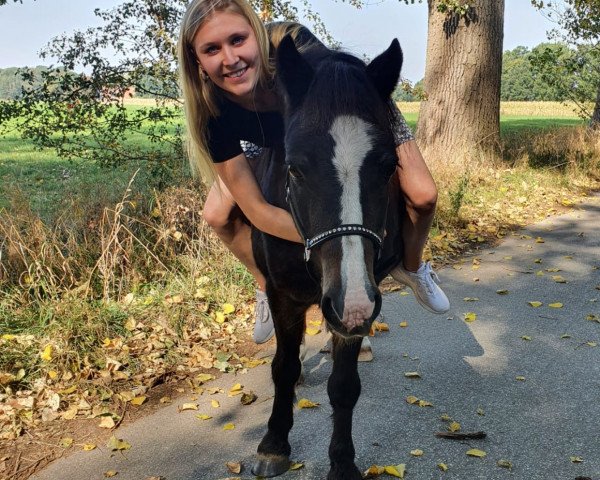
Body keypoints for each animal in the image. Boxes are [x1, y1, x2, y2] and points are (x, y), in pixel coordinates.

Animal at [251, 35, 406, 478]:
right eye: (294, 168)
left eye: (390, 166)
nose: (352, 305)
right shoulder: (283, 294)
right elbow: (284, 368)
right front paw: (274, 444)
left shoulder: (354, 301)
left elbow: (344, 385)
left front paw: (342, 461)